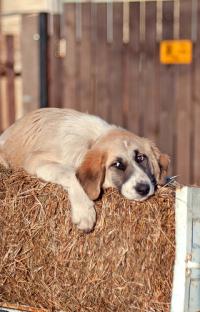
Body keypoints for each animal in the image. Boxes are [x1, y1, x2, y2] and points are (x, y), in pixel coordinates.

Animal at [0, 108, 170, 232]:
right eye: (117, 164)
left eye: (141, 158)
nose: (143, 188)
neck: (92, 141)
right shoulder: (37, 161)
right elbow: (71, 173)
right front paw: (84, 212)